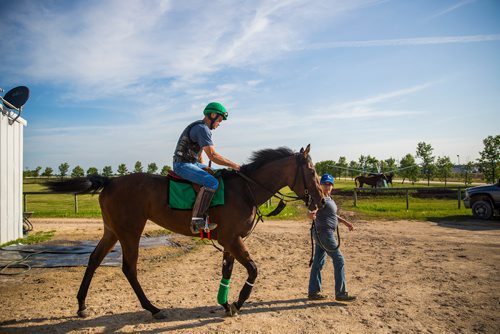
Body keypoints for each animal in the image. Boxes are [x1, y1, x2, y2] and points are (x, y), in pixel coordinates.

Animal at [46, 145, 324, 320]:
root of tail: (111, 180)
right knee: (129, 269)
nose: (321, 200)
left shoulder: (230, 242)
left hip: (112, 231)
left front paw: (225, 303)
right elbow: (253, 270)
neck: (245, 190)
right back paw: (152, 308)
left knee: (94, 260)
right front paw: (237, 303)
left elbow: (227, 272)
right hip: (130, 232)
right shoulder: (233, 239)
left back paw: (82, 305)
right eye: (312, 171)